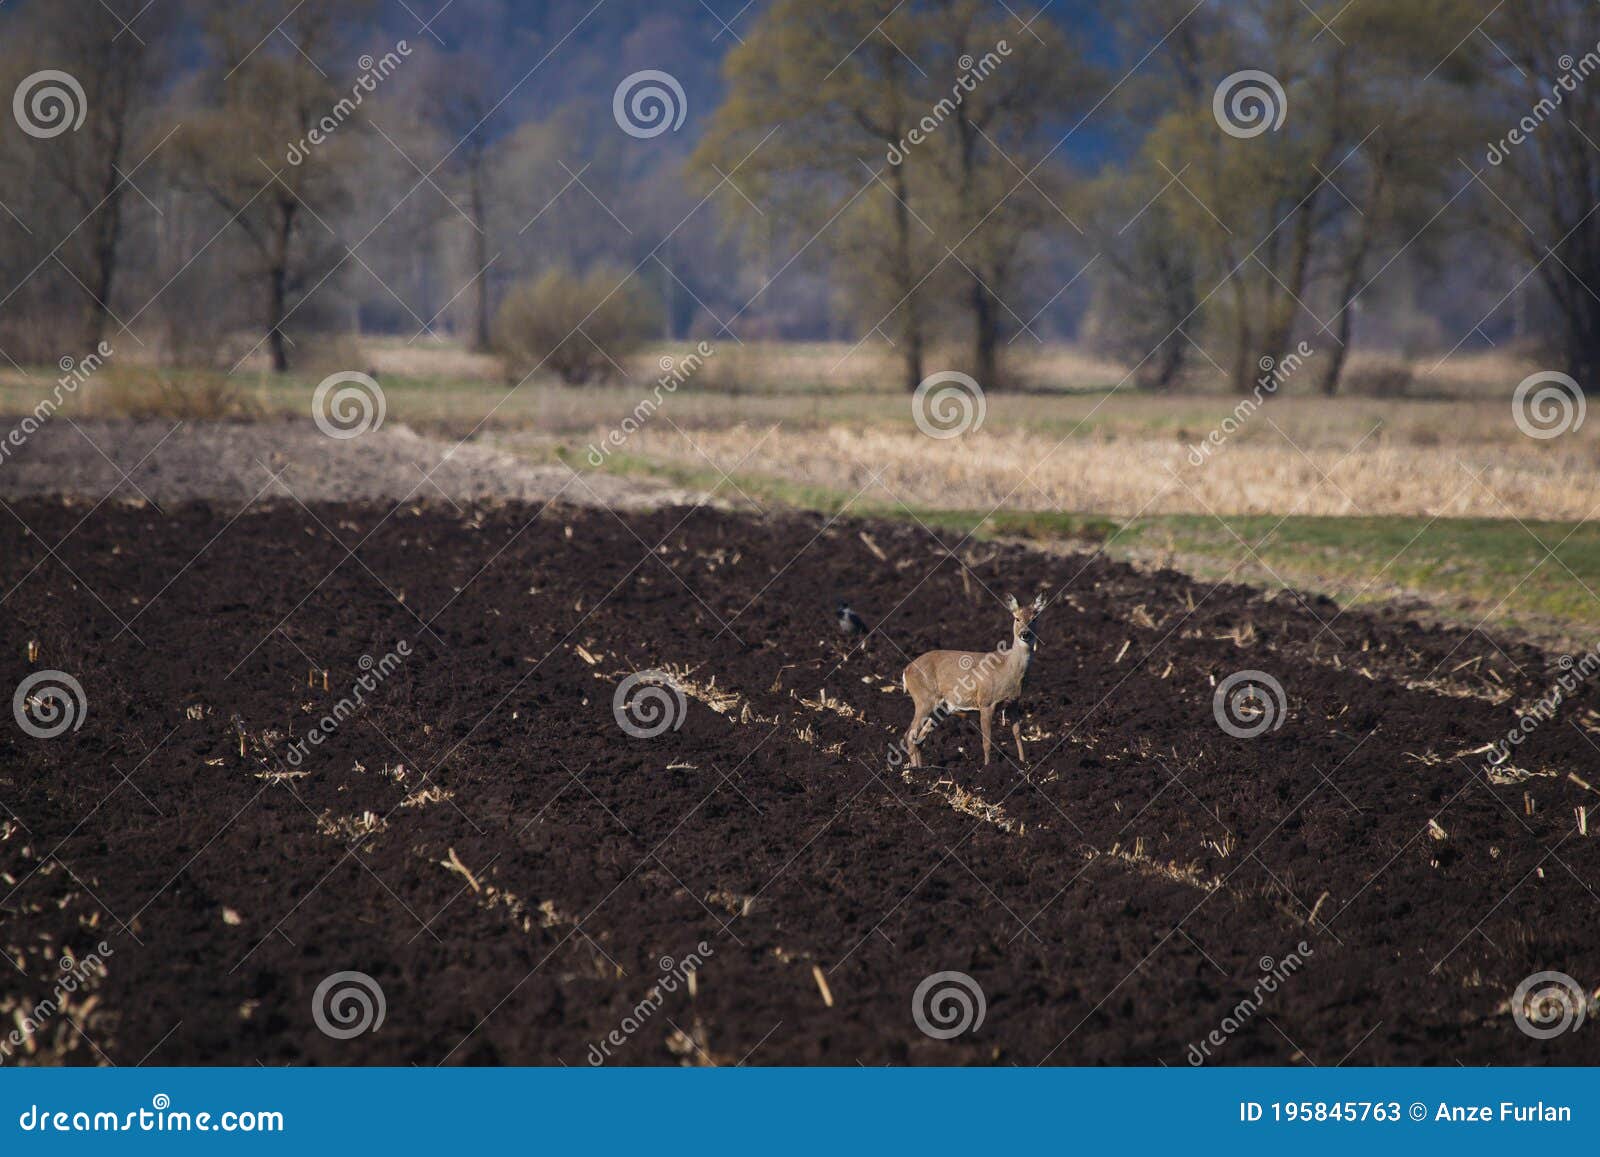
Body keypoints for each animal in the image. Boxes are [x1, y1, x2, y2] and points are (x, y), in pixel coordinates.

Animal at [901, 593, 1045, 768]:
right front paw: (987, 767)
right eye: (1017, 618)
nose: (1024, 633)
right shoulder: (986, 702)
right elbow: (987, 740)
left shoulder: (1013, 702)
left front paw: (1023, 762)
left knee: (919, 737)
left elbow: (1017, 733)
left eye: (1034, 618)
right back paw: (916, 770)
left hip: (941, 707)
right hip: (924, 698)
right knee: (910, 734)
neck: (1008, 669)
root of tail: (906, 670)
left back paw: (922, 768)